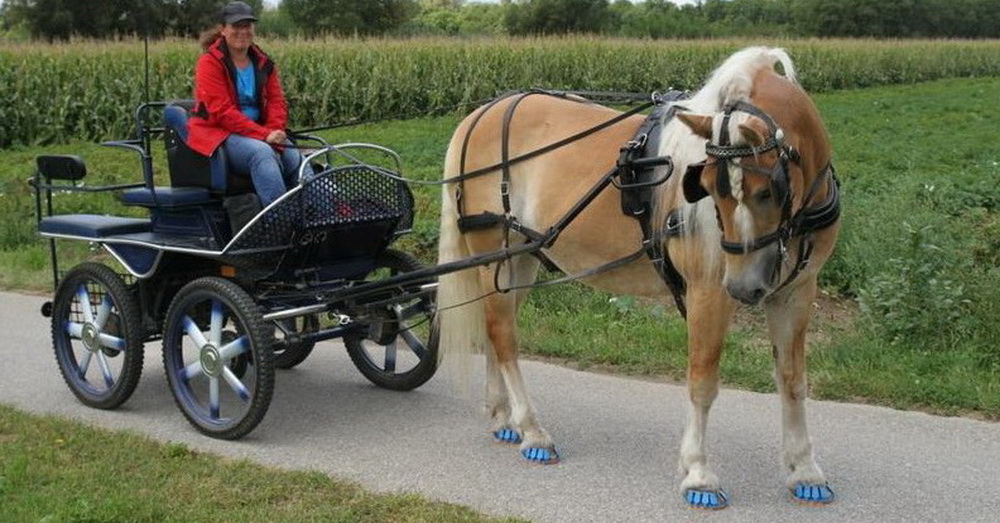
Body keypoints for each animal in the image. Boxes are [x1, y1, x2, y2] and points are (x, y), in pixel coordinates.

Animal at [434, 47, 840, 510]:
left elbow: (793, 381)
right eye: (708, 188)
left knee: (493, 328)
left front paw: (805, 470)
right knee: (503, 336)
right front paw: (699, 475)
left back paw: (504, 417)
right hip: (493, 255)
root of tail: (483, 112)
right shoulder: (707, 291)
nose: (742, 288)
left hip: (516, 262)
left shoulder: (795, 293)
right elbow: (702, 381)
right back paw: (533, 431)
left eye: (767, 191)